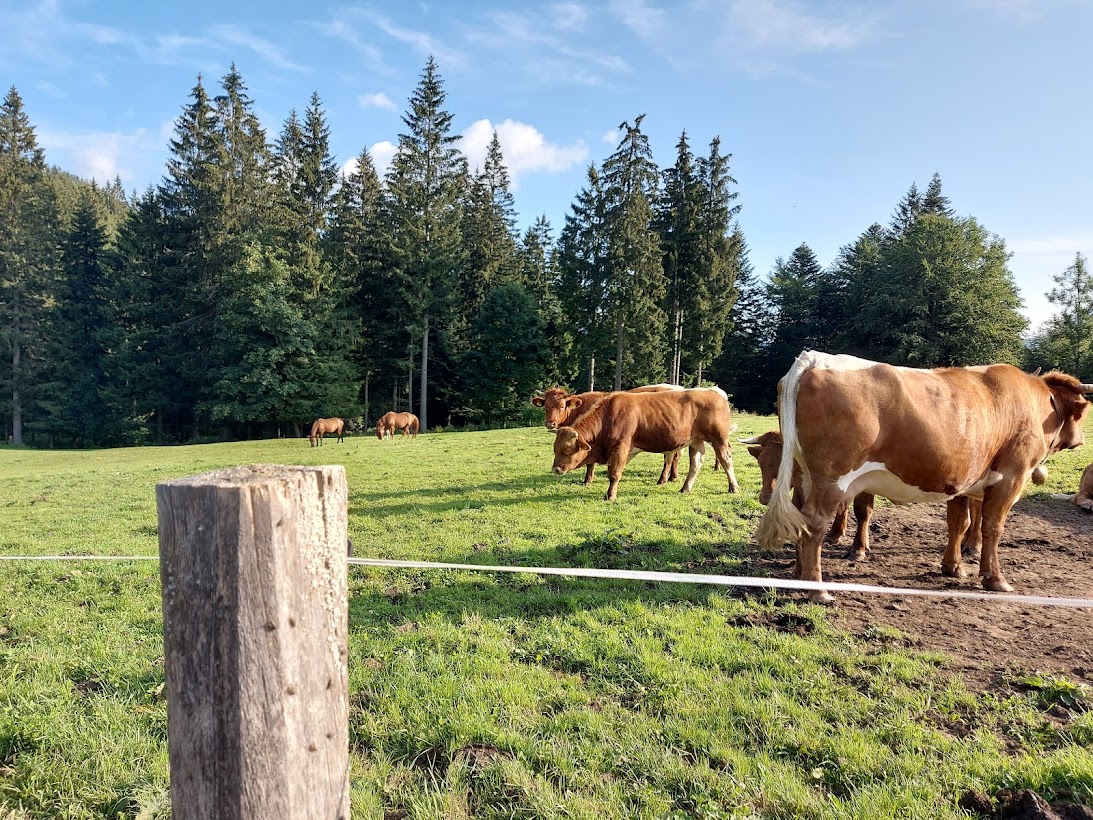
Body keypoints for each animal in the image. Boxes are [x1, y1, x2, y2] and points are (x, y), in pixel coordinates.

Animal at [550, 389, 738, 500]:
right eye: (555, 449)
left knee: (726, 460)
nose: (555, 470)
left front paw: (610, 495)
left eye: (568, 449)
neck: (608, 415)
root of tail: (714, 391)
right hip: (696, 441)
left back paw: (733, 487)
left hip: (719, 439)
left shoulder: (621, 447)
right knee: (695, 464)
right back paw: (685, 488)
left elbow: (614, 474)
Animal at [756, 352, 1088, 603]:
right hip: (833, 478)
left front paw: (953, 567)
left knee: (800, 517)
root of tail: (813, 358)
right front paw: (995, 579)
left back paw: (798, 576)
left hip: (804, 474)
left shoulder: (962, 480)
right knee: (814, 524)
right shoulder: (1010, 477)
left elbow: (958, 523)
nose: (1082, 439)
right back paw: (818, 591)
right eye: (1082, 415)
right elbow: (993, 528)